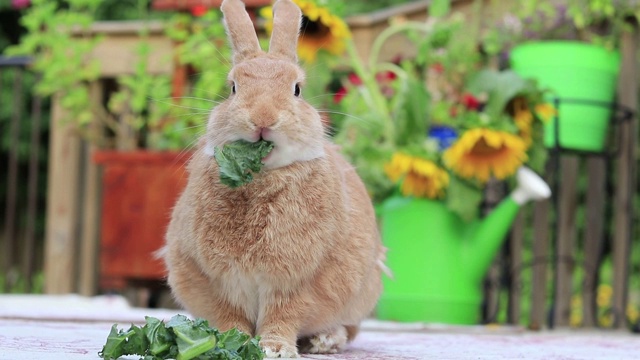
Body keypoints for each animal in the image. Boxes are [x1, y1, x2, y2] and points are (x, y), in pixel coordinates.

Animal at [162, 0, 388, 356]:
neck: (261, 174)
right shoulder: (220, 281)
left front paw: (274, 349)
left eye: (297, 89)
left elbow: (284, 315)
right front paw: (233, 341)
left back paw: (325, 340)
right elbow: (231, 316)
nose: (263, 118)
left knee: (349, 329)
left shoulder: (296, 282)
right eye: (233, 88)